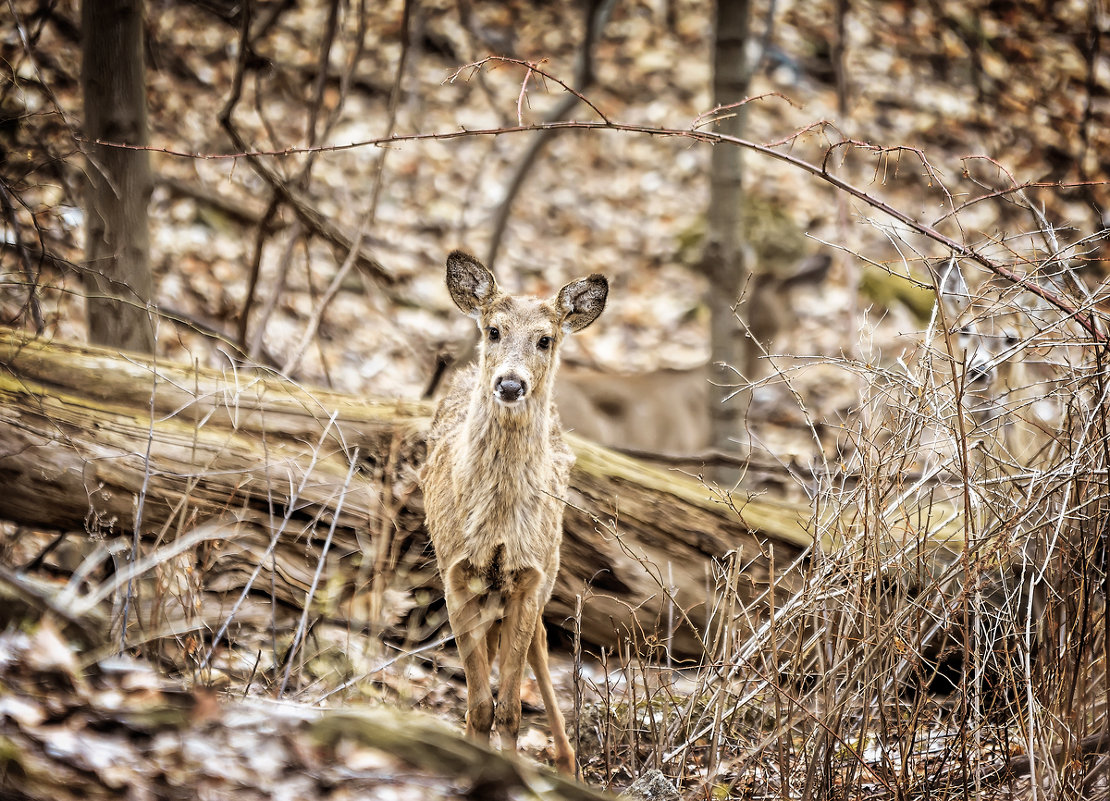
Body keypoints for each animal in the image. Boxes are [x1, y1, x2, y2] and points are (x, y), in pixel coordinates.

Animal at [419, 250, 608, 772]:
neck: (497, 526)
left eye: (546, 339)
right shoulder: (455, 573)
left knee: (541, 642)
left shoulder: (530, 575)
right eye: (493, 330)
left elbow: (508, 710)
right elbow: (481, 704)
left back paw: (567, 759)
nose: (509, 383)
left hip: (549, 565)